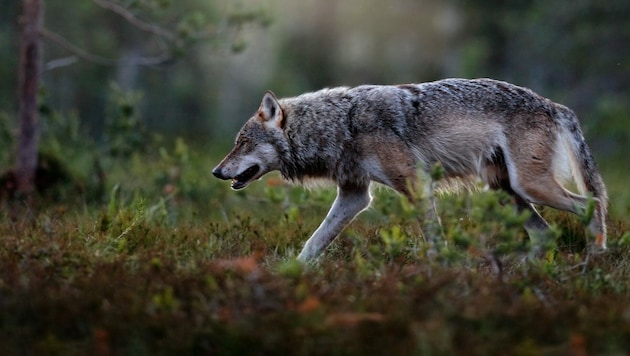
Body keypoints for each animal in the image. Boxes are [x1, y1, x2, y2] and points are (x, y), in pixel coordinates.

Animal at [214, 78, 612, 262]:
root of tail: (553, 104)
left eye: (243, 143)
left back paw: (596, 258)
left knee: (589, 205)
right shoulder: (355, 195)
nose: (217, 172)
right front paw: (291, 274)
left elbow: (434, 239)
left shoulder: (415, 185)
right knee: (546, 234)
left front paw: (441, 272)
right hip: (505, 191)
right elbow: (314, 241)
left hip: (529, 187)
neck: (341, 125)